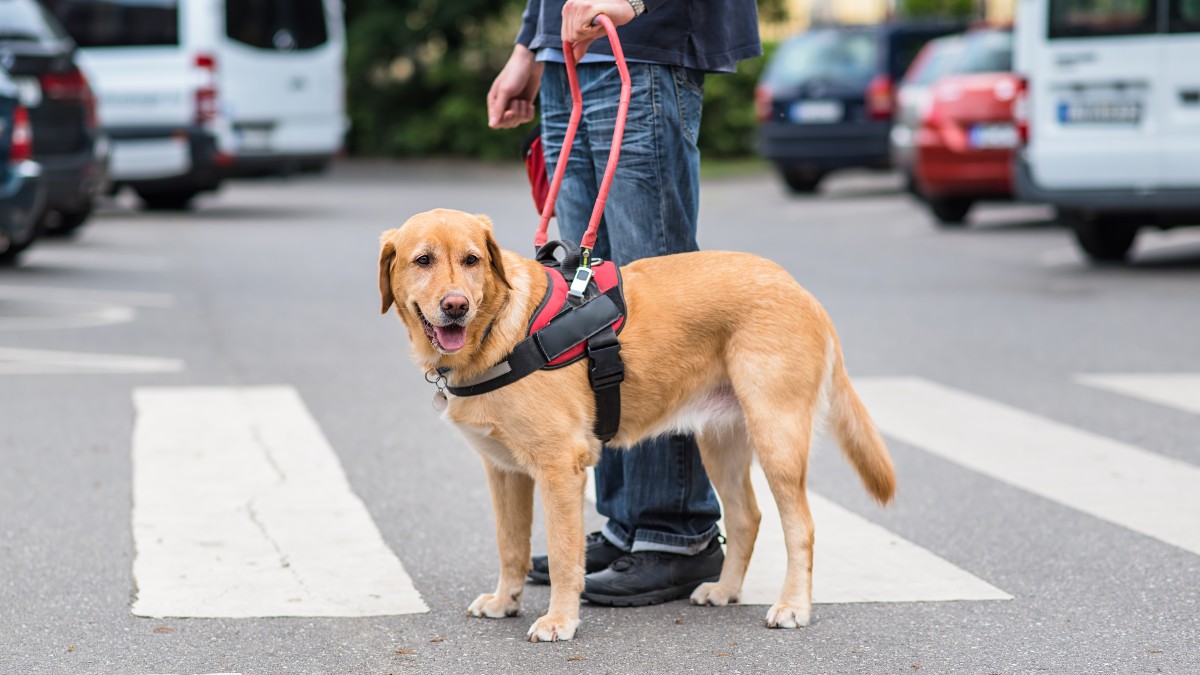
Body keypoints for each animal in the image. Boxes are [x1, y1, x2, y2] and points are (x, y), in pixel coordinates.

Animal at [379, 207, 897, 638]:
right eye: (423, 260)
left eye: (471, 260)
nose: (456, 306)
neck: (496, 332)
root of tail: (799, 289)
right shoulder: (505, 472)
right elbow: (511, 546)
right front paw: (505, 601)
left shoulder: (559, 467)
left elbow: (565, 555)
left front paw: (560, 620)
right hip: (721, 442)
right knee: (746, 518)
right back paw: (725, 590)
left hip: (777, 438)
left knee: (801, 528)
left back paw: (793, 607)